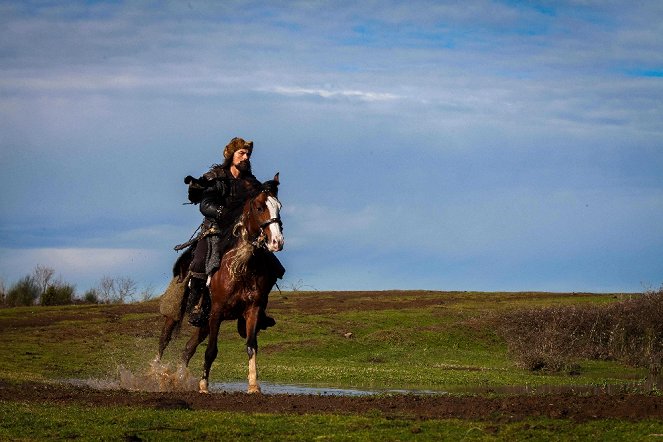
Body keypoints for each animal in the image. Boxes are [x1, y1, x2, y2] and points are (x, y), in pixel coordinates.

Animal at [161, 172, 288, 394]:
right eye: (259, 207)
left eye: (278, 206)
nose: (277, 242)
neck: (241, 266)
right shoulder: (217, 311)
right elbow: (211, 350)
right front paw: (203, 385)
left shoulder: (252, 310)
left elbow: (251, 346)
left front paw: (253, 385)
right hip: (177, 312)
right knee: (164, 340)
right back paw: (154, 372)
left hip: (203, 323)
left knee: (188, 348)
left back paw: (177, 378)